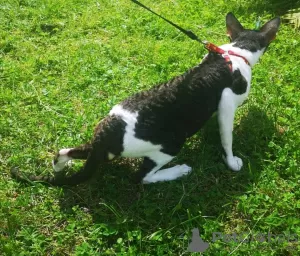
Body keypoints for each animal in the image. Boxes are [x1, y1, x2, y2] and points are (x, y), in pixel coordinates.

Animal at [11, 13, 278, 185]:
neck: (236, 52)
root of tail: (106, 137)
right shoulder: (227, 106)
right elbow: (227, 140)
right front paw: (232, 162)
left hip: (100, 148)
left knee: (65, 151)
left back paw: (58, 165)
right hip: (171, 144)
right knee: (141, 178)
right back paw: (178, 171)